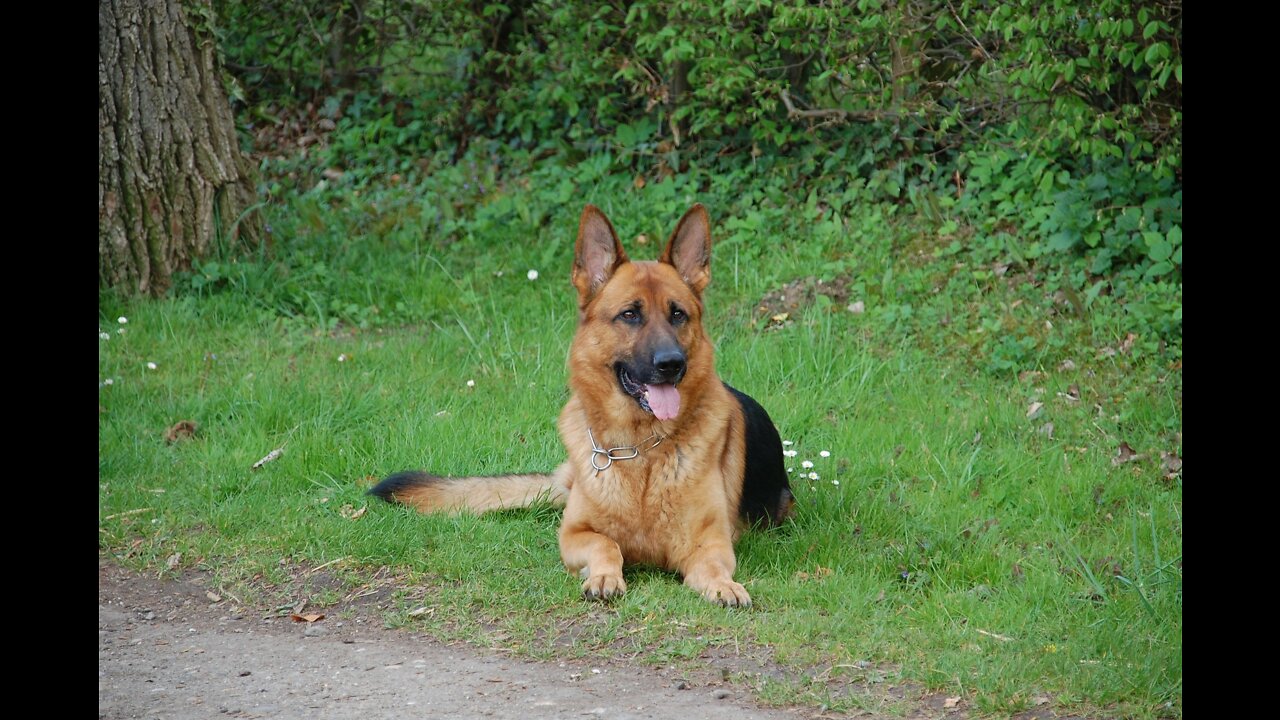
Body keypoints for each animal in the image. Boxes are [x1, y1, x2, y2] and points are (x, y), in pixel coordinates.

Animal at [368, 203, 788, 604]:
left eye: (678, 314)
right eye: (630, 314)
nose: (671, 364)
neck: (638, 451)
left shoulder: (712, 542)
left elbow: (713, 566)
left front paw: (723, 586)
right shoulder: (573, 533)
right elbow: (606, 544)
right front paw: (604, 576)